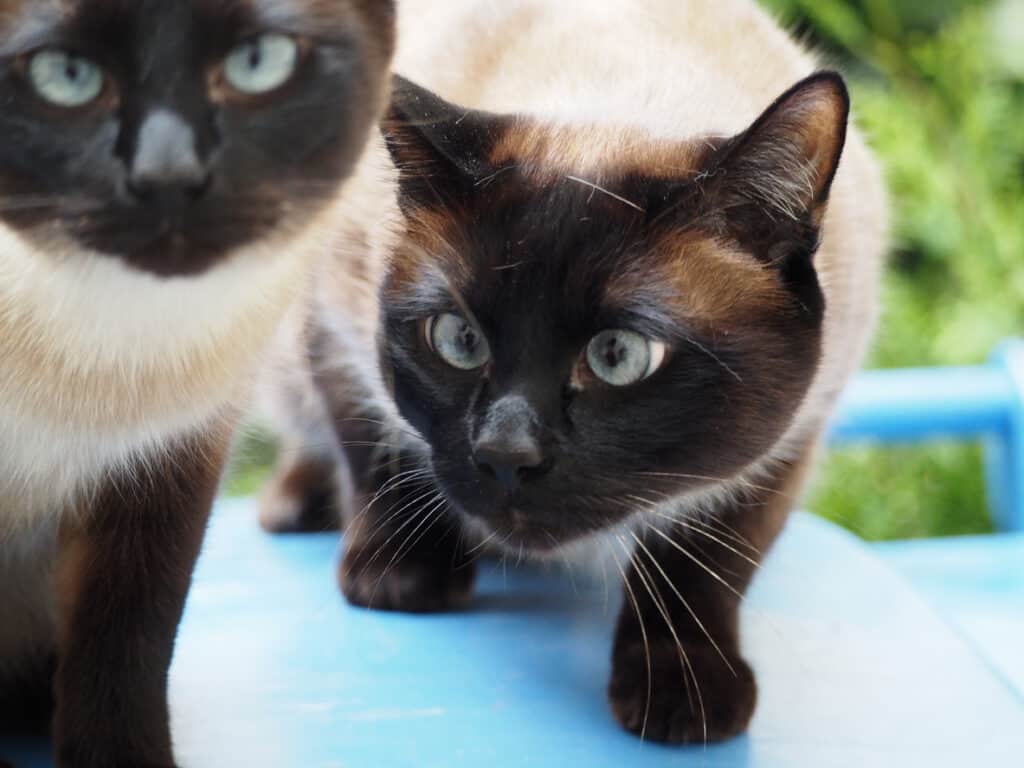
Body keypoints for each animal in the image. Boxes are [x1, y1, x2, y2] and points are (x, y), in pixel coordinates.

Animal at [262, 0, 888, 749]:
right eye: (459, 340)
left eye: (618, 356)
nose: (506, 456)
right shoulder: (331, 313)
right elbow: (373, 452)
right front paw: (400, 580)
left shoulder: (791, 437)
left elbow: (705, 565)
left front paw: (683, 695)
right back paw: (297, 509)